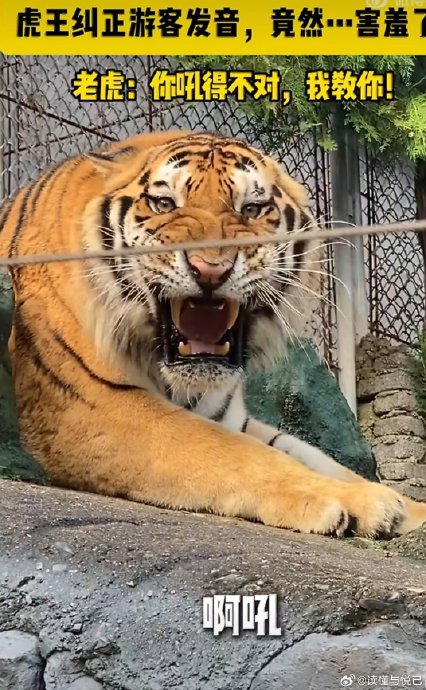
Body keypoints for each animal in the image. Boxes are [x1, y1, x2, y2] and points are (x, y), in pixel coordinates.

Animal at [1, 129, 425, 539]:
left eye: (251, 209)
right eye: (163, 204)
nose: (210, 269)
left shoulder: (234, 417)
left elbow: (316, 457)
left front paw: (407, 507)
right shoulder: (93, 405)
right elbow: (239, 454)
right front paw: (351, 500)